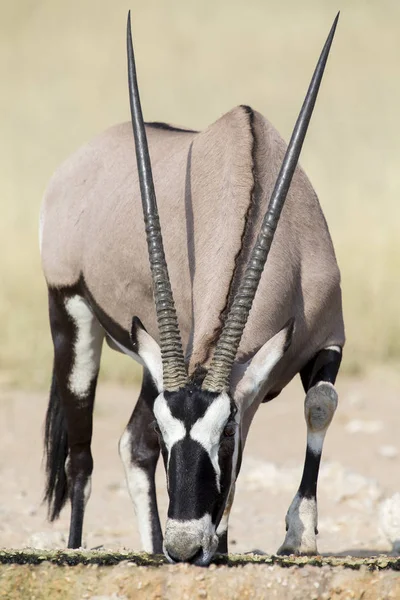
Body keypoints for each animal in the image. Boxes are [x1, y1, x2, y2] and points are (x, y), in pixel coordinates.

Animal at [40, 12, 344, 568]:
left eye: (226, 432)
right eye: (170, 438)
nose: (184, 547)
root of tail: (75, 166)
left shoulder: (328, 337)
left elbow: (320, 403)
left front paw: (296, 534)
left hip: (148, 360)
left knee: (129, 444)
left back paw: (154, 544)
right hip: (71, 314)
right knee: (80, 457)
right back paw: (77, 549)